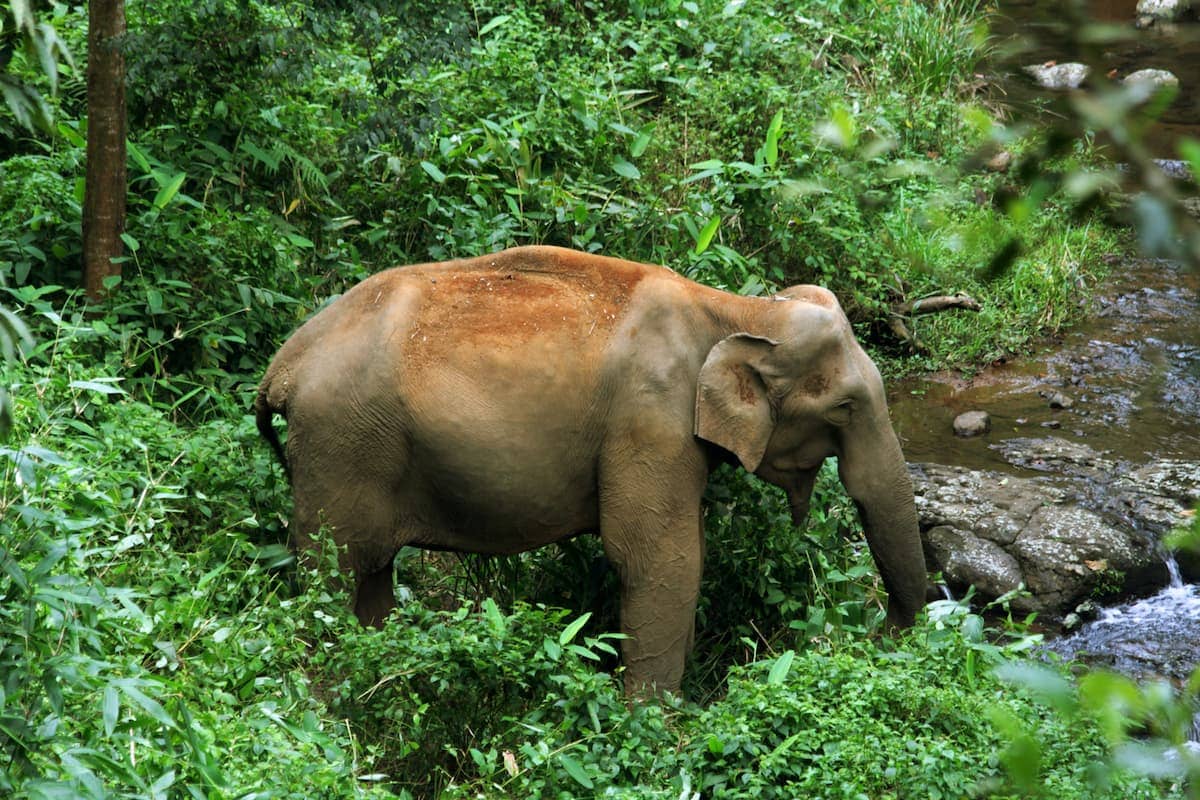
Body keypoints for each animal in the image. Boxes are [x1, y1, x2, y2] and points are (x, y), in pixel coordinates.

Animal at [255, 245, 927, 694]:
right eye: (845, 407)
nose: (876, 635)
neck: (734, 309)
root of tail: (283, 364)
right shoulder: (649, 418)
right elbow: (661, 559)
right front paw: (658, 731)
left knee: (369, 577)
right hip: (342, 442)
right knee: (330, 574)